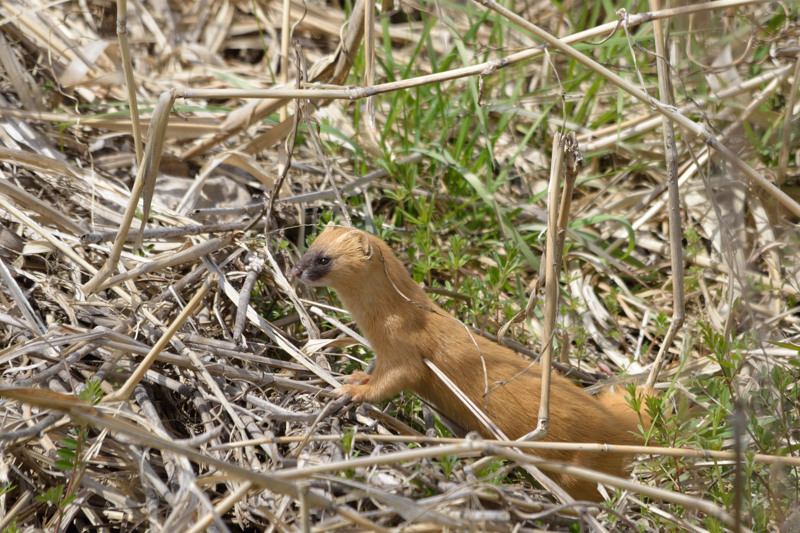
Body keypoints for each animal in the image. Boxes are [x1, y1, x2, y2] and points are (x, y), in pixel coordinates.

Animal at [294, 224, 648, 498]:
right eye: (308, 247)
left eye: (324, 259)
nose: (296, 270)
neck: (385, 322)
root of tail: (616, 423)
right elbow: (377, 374)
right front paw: (356, 377)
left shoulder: (405, 352)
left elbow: (394, 380)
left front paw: (354, 392)